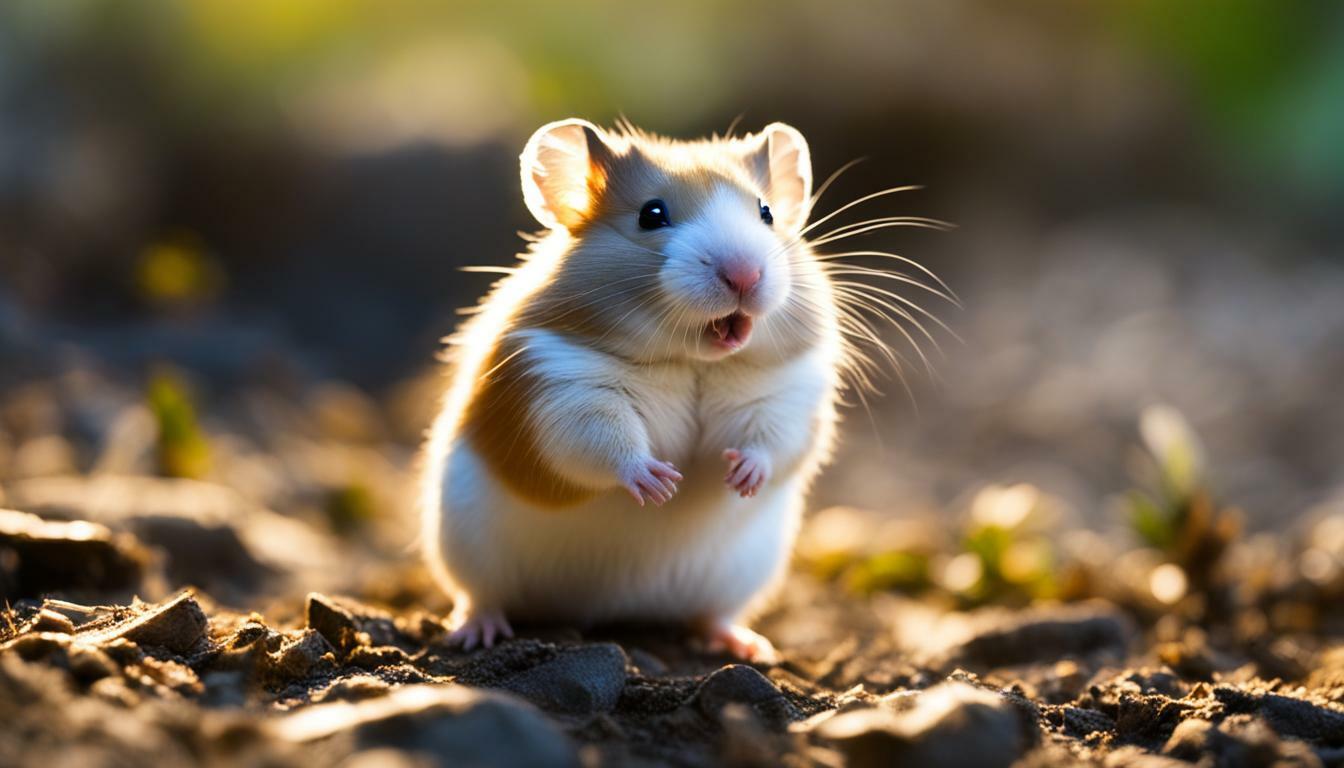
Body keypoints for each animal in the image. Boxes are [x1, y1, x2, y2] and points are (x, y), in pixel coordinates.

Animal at [420, 118, 845, 661]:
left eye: (766, 213)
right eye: (651, 214)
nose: (745, 275)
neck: (691, 360)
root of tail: (606, 612)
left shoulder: (786, 395)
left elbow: (774, 441)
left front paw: (742, 477)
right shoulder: (564, 389)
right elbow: (604, 444)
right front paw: (659, 483)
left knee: (712, 615)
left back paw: (747, 646)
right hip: (464, 549)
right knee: (480, 596)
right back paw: (476, 633)